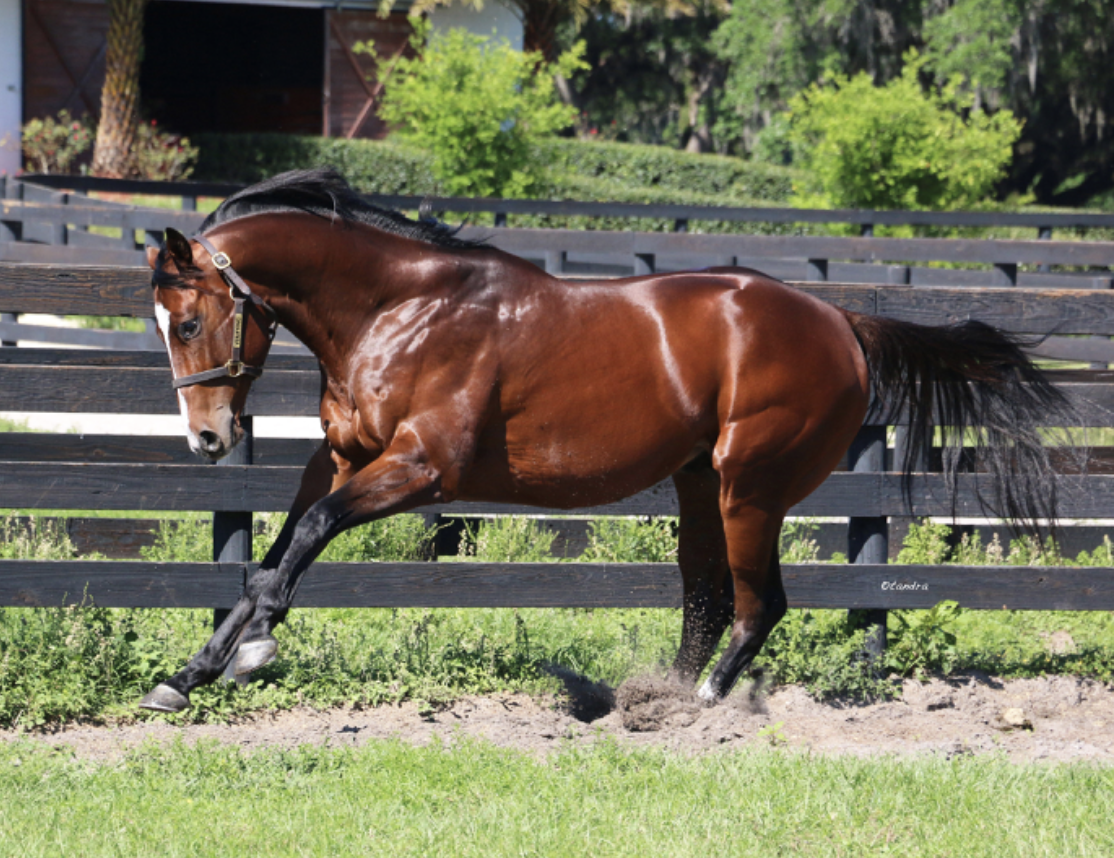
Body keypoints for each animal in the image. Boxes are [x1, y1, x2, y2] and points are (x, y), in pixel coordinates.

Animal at [138, 168, 1075, 713]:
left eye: (186, 321)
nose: (208, 439)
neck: (398, 310)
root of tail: (842, 323)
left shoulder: (421, 470)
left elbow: (305, 538)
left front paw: (248, 651)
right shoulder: (339, 458)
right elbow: (276, 551)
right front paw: (192, 673)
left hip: (749, 486)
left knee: (758, 602)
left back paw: (706, 698)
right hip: (699, 484)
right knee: (706, 596)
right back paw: (661, 696)